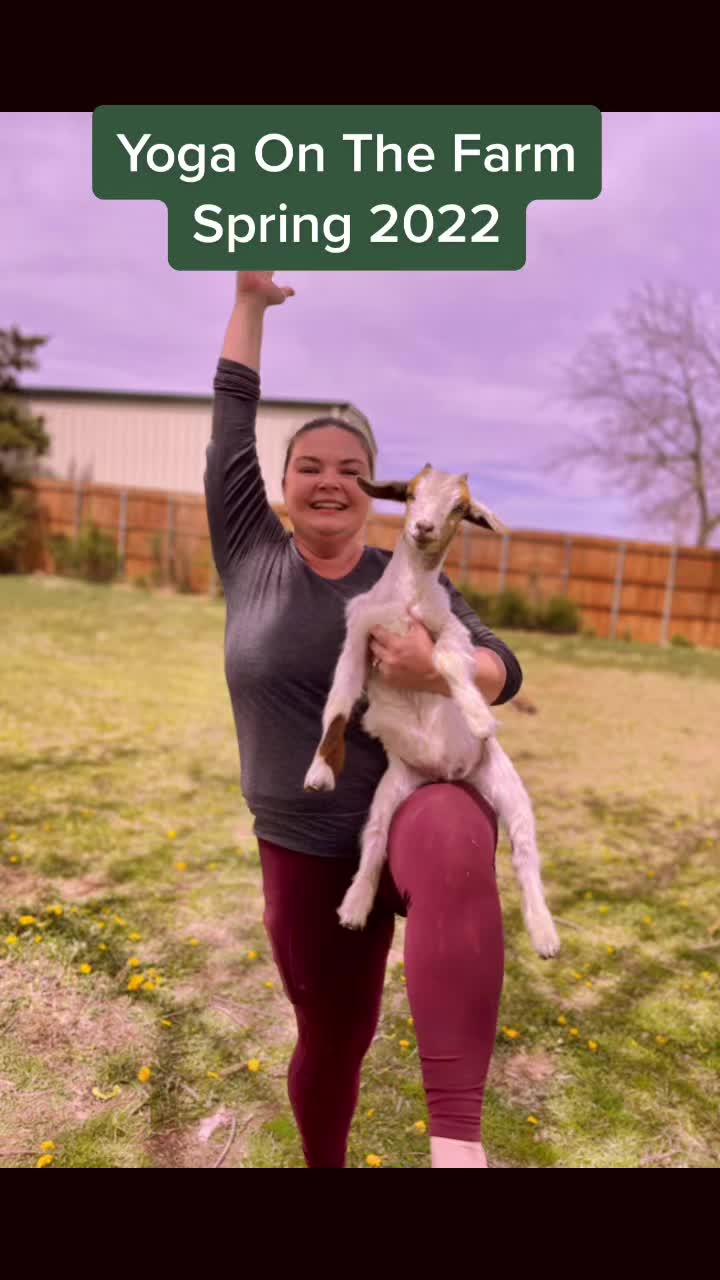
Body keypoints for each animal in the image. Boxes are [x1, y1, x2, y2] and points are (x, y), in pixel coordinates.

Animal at [303, 464, 560, 960]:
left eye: (460, 508)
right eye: (410, 494)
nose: (423, 528)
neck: (408, 598)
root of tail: (448, 773)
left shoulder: (452, 631)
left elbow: (448, 661)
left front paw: (479, 716)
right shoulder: (360, 635)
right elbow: (340, 700)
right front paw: (319, 772)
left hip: (505, 783)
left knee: (525, 852)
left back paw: (544, 934)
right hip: (392, 790)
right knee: (374, 842)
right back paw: (354, 906)